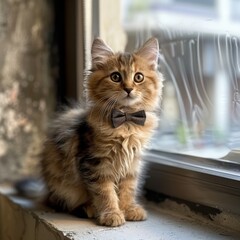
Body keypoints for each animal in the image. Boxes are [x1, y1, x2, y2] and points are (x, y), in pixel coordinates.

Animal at [40, 38, 163, 227]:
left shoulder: (132, 164)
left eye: (138, 77)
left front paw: (128, 209)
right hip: (62, 185)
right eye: (115, 77)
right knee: (61, 201)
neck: (126, 122)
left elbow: (128, 189)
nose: (128, 89)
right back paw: (87, 208)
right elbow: (105, 192)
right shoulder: (96, 163)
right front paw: (112, 214)